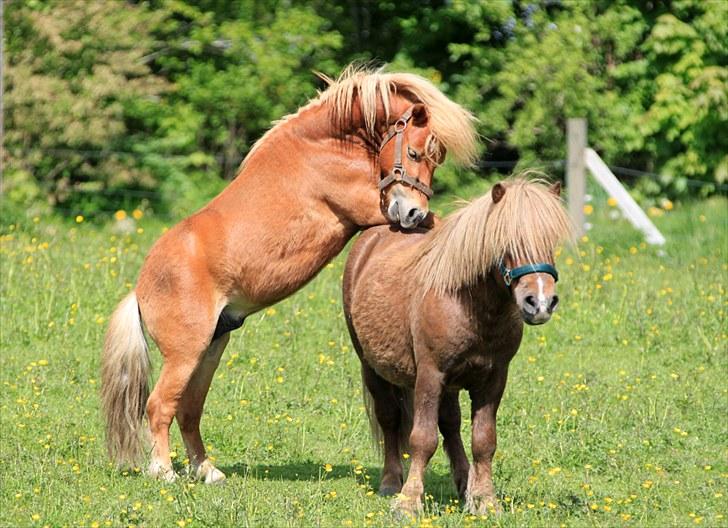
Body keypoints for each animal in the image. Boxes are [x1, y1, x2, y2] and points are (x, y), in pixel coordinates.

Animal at [101, 65, 478, 482]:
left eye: (436, 159)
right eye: (413, 152)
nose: (410, 213)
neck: (323, 147)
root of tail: (139, 290)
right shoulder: (370, 209)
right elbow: (438, 221)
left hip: (209, 350)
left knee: (188, 409)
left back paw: (208, 471)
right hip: (185, 354)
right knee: (159, 405)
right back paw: (164, 472)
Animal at [344, 178, 572, 516]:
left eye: (550, 240)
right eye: (504, 241)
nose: (540, 302)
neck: (468, 303)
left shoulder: (492, 380)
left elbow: (484, 440)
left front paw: (485, 501)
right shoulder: (430, 375)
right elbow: (422, 438)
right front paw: (408, 502)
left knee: (450, 425)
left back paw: (465, 484)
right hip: (372, 367)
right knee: (390, 419)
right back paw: (391, 481)